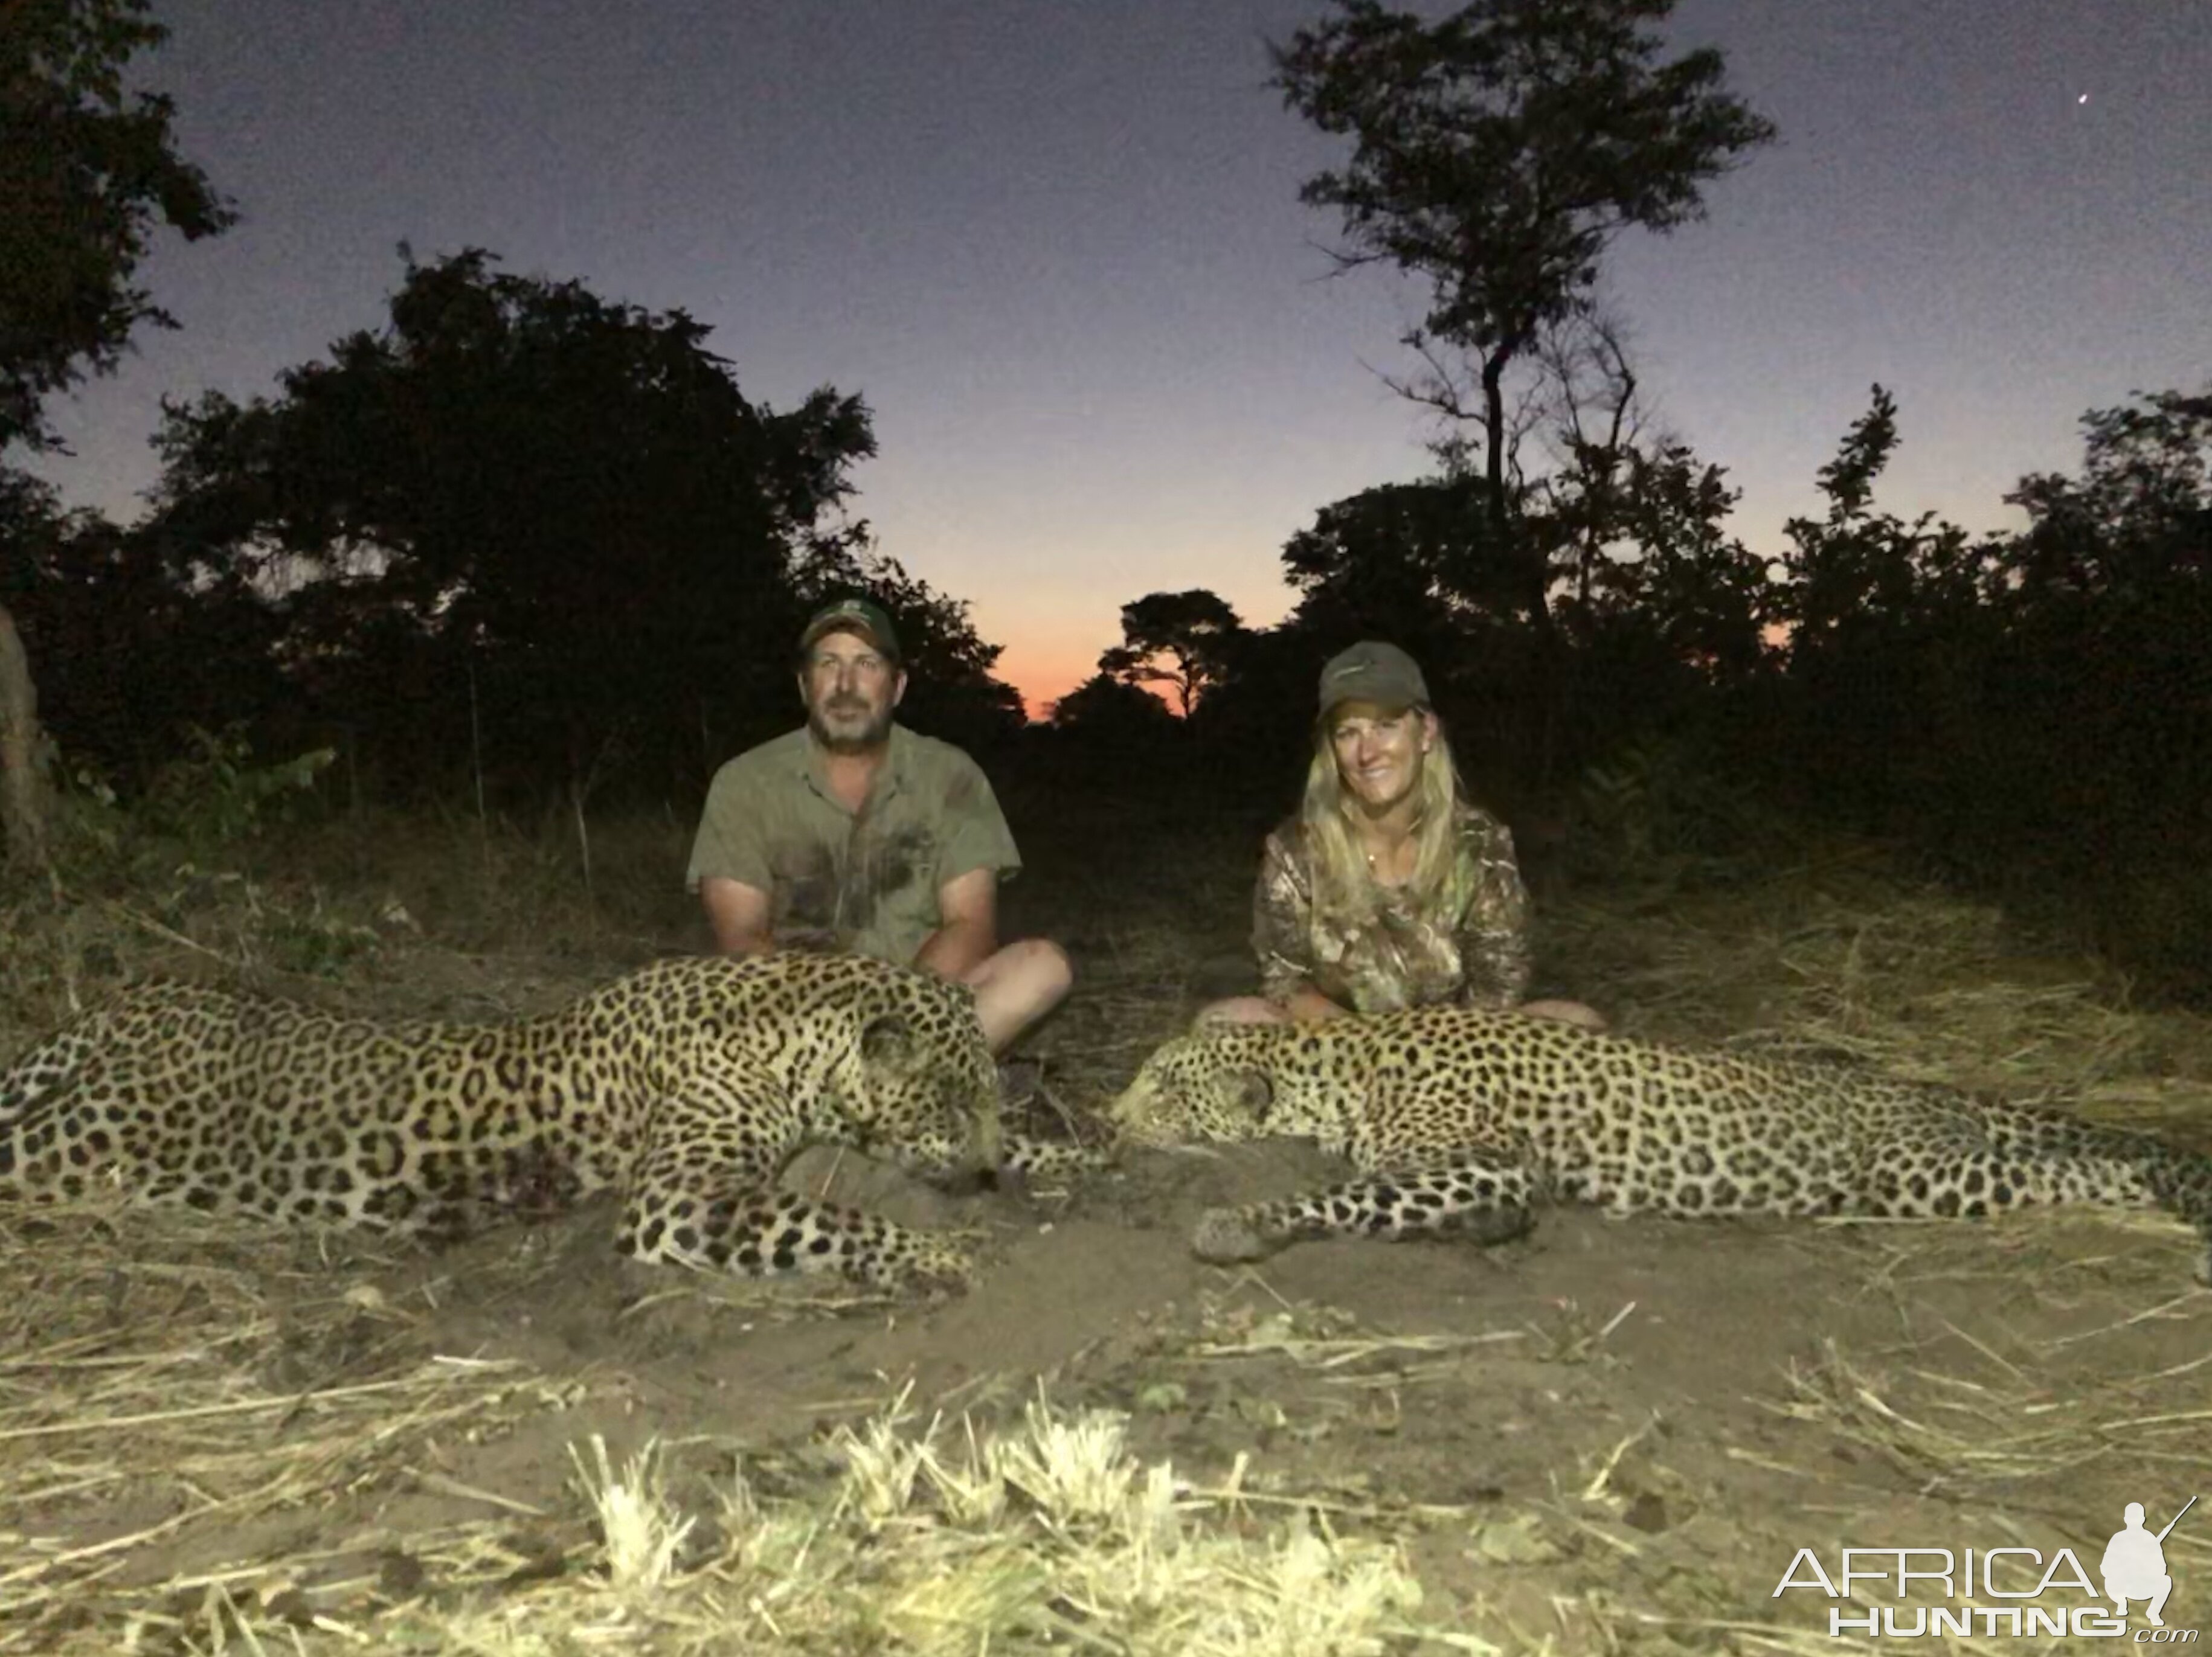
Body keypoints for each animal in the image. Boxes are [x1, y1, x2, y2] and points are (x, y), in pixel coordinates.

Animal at [0, 942, 1079, 1292]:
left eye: (987, 1093)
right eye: (947, 1099)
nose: (984, 1171)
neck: (788, 1037)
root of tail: (140, 998)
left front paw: (1065, 1151)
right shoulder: (676, 1199)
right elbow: (834, 1215)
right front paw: (937, 1251)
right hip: (77, 1138)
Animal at [1114, 995, 2212, 1283]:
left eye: (1162, 1085)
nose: (1107, 1116)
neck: (1338, 1069)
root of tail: (1921, 1086)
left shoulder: (1486, 1163)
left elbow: (1351, 1192)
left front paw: (1238, 1222)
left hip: (1927, 1170)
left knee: (2096, 1165)